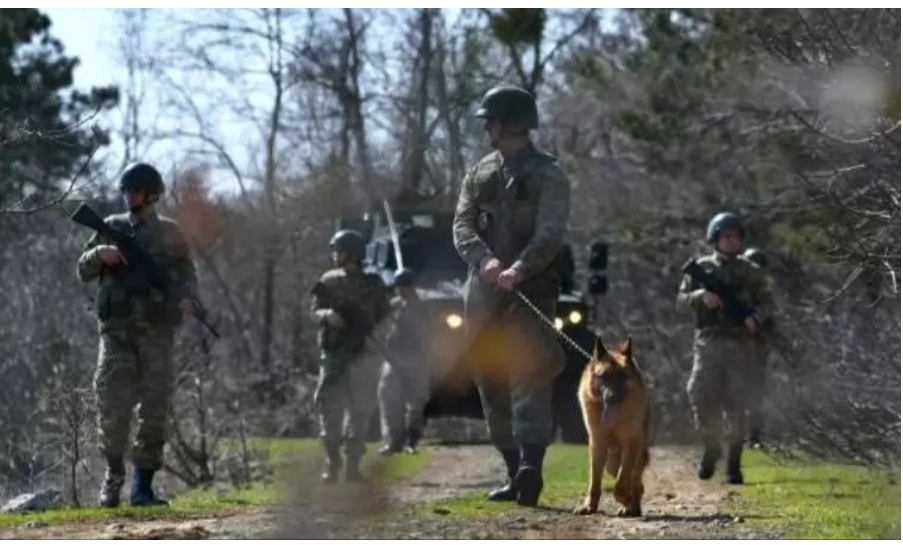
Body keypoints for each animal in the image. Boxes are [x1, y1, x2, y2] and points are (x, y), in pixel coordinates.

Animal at [576, 334, 648, 516]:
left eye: (623, 377)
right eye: (603, 376)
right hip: (611, 463)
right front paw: (590, 506)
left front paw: (625, 498)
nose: (612, 397)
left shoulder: (632, 444)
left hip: (637, 455)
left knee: (636, 481)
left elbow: (622, 482)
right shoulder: (597, 445)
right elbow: (594, 481)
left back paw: (632, 506)